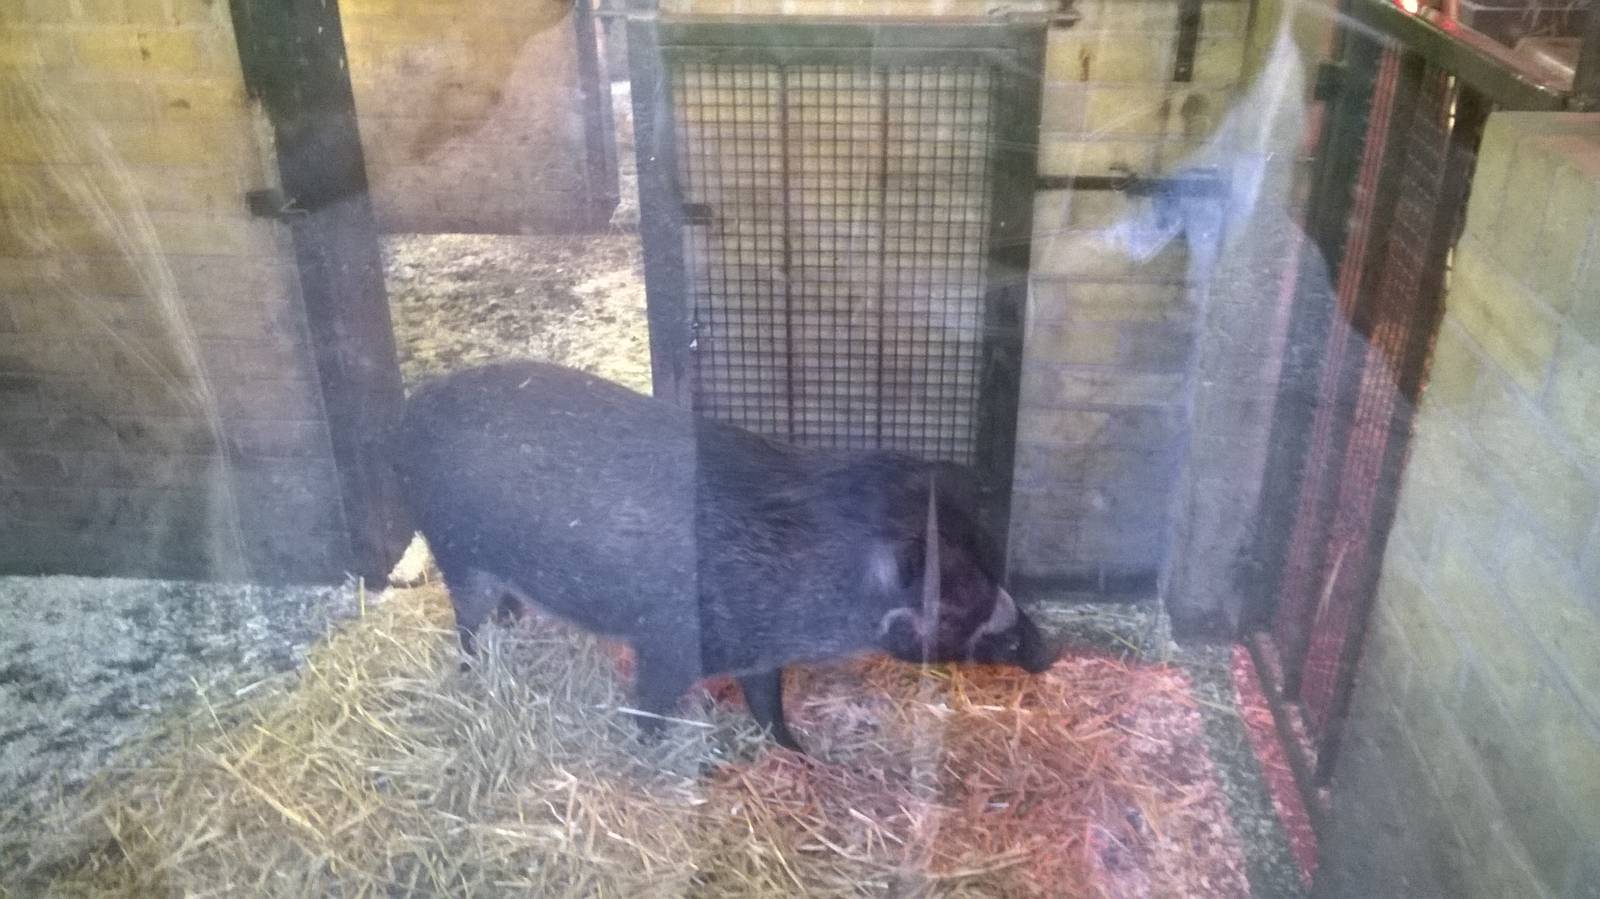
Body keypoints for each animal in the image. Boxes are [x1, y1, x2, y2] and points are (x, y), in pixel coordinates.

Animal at [389, 361, 1058, 752]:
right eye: (954, 601)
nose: (1049, 651)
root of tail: (410, 411)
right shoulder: (667, 641)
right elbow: (650, 704)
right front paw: (649, 755)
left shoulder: (759, 652)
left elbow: (768, 704)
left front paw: (799, 752)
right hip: (455, 548)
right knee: (465, 621)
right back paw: (472, 668)